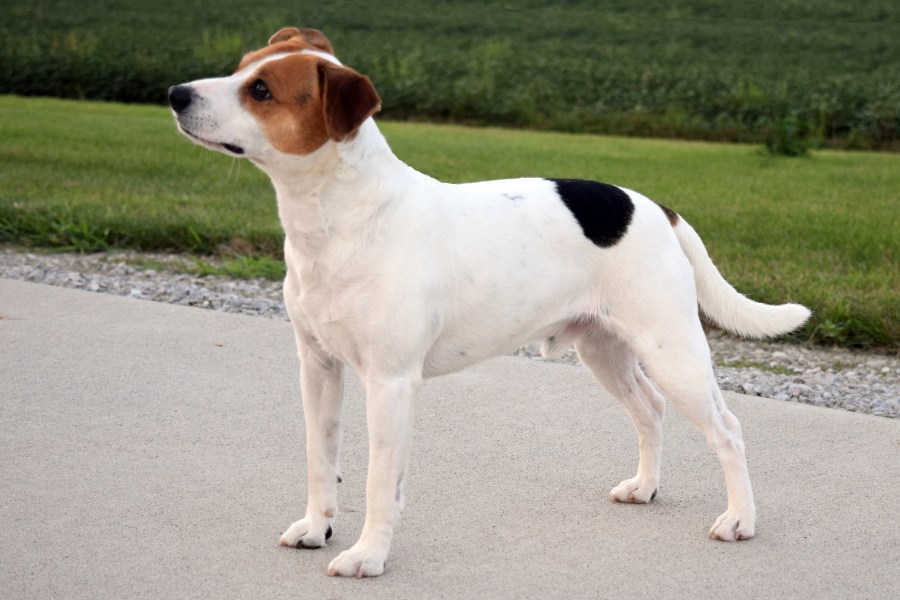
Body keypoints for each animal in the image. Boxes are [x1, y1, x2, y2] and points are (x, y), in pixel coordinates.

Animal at [169, 28, 808, 576]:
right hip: (605, 351)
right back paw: (644, 487)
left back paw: (740, 520)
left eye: (261, 90)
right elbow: (320, 459)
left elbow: (379, 485)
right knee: (649, 410)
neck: (340, 216)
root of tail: (656, 206)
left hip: (673, 352)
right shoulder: (318, 367)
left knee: (728, 430)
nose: (175, 94)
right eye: (242, 65)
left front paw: (367, 557)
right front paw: (315, 528)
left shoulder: (390, 383)